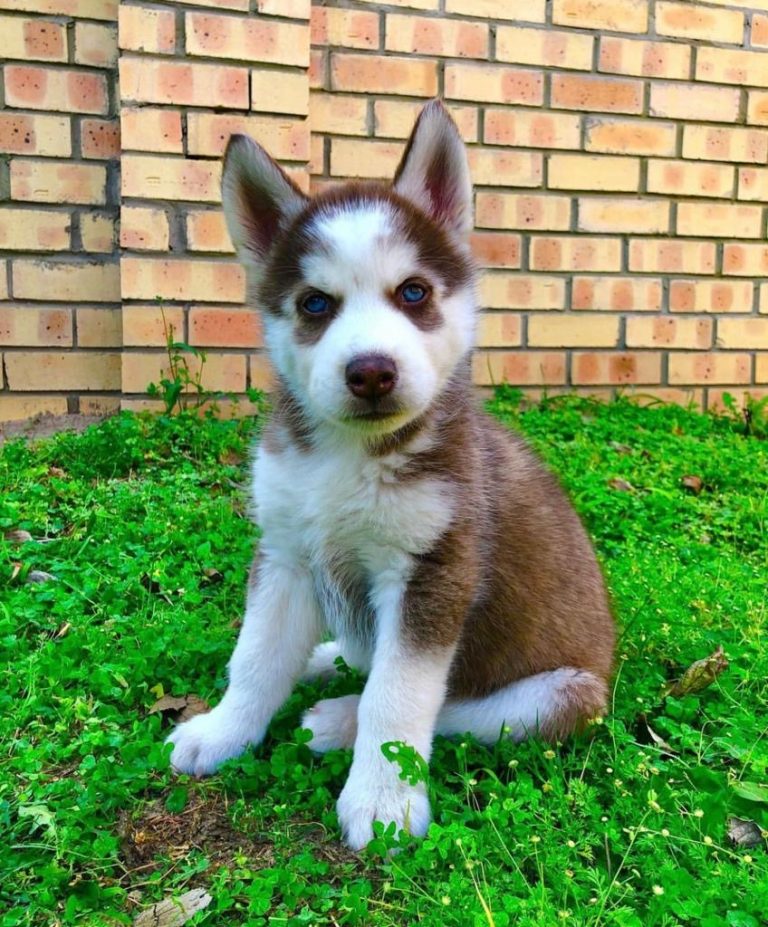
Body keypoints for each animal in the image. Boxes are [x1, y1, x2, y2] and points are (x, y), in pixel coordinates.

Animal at [166, 99, 612, 848]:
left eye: (414, 292)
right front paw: (224, 730)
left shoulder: (433, 574)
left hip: (562, 696)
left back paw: (337, 716)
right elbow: (255, 657)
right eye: (315, 304)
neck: (351, 456)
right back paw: (327, 657)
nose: (371, 371)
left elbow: (399, 699)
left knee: (456, 708)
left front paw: (383, 799)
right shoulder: (286, 553)